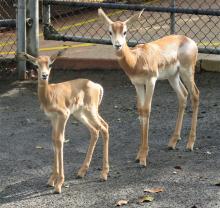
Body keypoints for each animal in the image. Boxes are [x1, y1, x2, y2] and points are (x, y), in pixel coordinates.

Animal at [21, 51, 109, 193]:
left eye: (50, 64)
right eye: (36, 65)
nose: (44, 75)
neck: (49, 95)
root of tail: (96, 86)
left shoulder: (63, 115)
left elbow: (60, 140)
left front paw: (59, 184)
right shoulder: (53, 118)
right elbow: (54, 140)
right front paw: (51, 180)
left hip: (90, 111)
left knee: (104, 127)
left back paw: (104, 175)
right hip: (80, 114)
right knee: (95, 130)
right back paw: (81, 172)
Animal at [99, 8, 200, 167]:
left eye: (125, 31)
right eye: (110, 31)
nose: (118, 45)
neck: (136, 60)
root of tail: (191, 41)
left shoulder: (151, 81)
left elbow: (147, 110)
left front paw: (143, 158)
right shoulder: (137, 84)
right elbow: (141, 111)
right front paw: (138, 154)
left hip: (187, 71)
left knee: (195, 94)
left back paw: (190, 144)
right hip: (173, 76)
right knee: (183, 95)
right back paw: (172, 142)